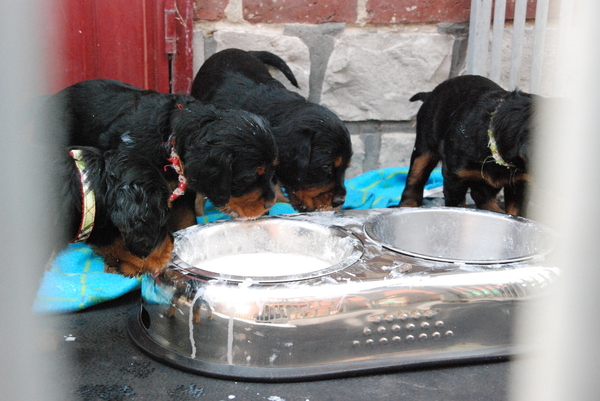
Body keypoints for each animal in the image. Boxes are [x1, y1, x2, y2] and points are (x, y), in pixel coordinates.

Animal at [398, 73, 536, 214]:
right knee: (414, 179)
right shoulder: (455, 177)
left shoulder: (520, 182)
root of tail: (430, 94)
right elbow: (457, 205)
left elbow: (515, 211)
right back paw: (406, 207)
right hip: (424, 146)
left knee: (480, 196)